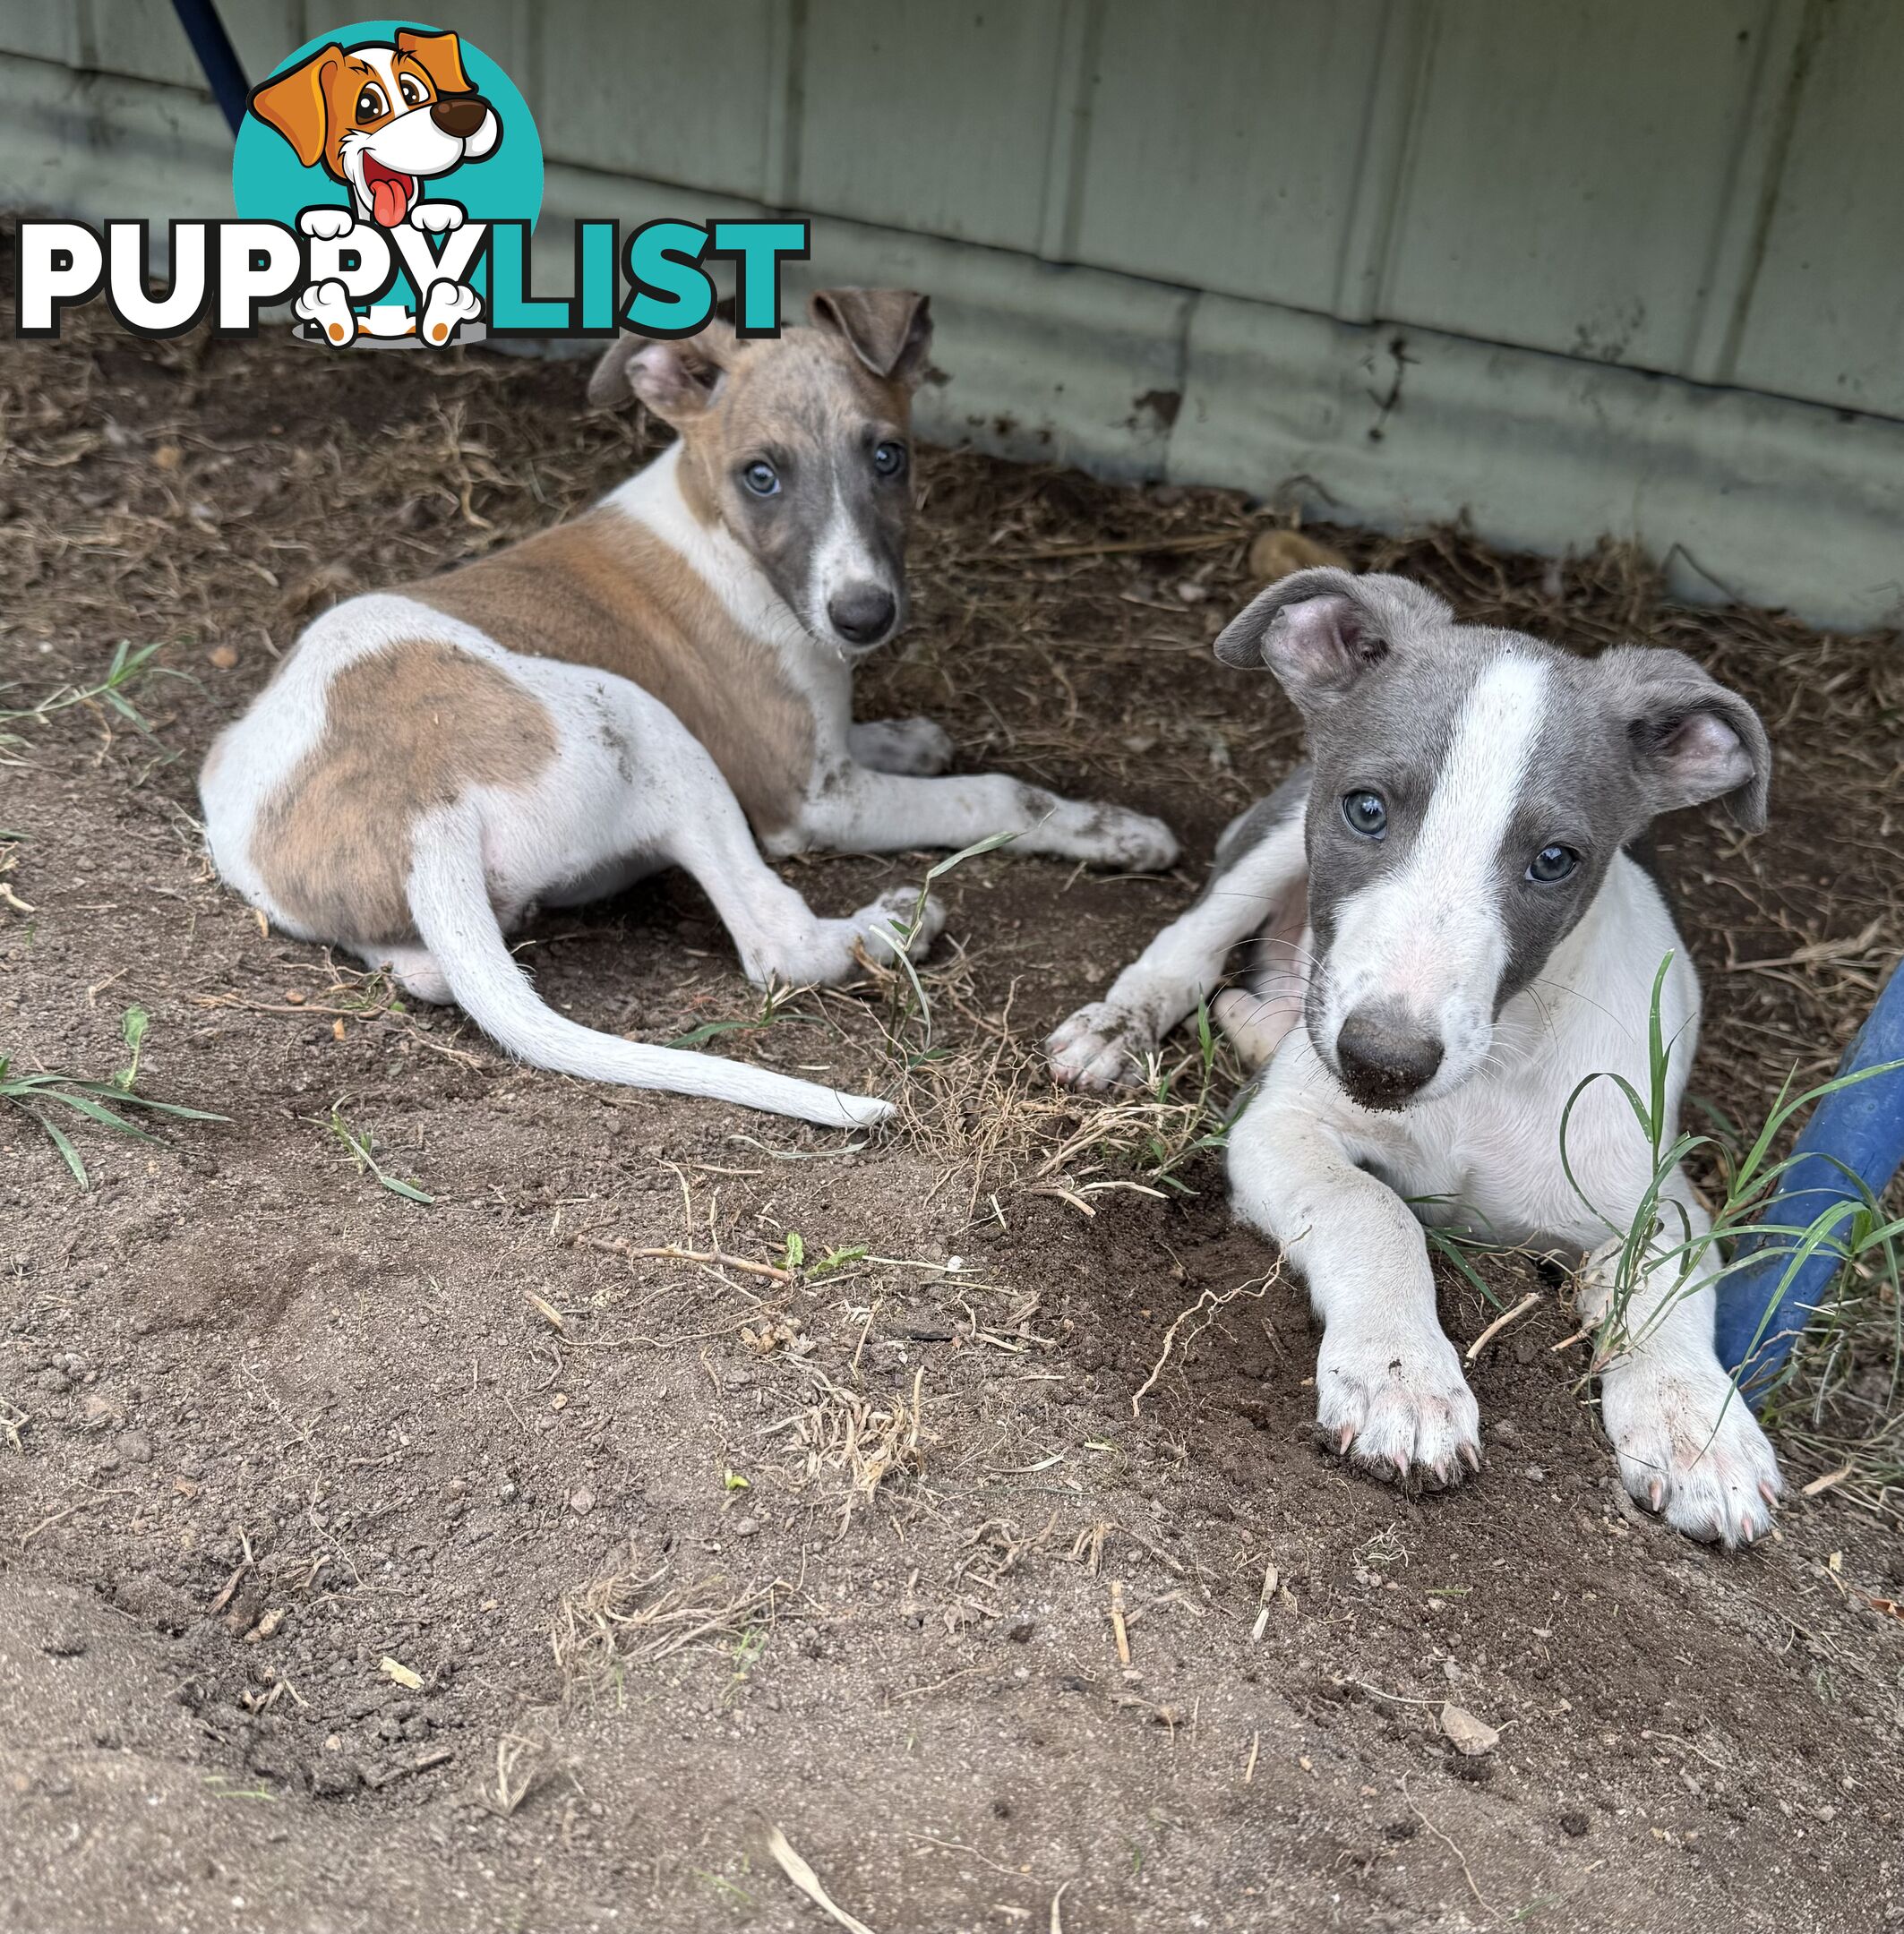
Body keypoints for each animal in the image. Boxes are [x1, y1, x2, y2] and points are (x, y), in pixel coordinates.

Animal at [203, 292, 1176, 1129]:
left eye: (888, 456)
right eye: (761, 476)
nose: (863, 616)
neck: (718, 533)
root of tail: (420, 819)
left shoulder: (819, 750)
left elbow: (886, 742)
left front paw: (913, 736)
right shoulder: (813, 802)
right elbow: (999, 795)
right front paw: (1116, 830)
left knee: (427, 974)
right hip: (646, 725)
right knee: (777, 946)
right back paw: (892, 926)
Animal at [1044, 564, 1788, 1547]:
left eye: (1556, 860)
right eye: (1367, 809)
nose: (1382, 1063)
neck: (1492, 1077)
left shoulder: (1661, 1201)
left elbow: (1663, 1296)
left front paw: (1696, 1426)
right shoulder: (1282, 1127)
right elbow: (1375, 1211)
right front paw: (1401, 1379)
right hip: (1271, 843)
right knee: (1189, 948)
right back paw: (1115, 1028)